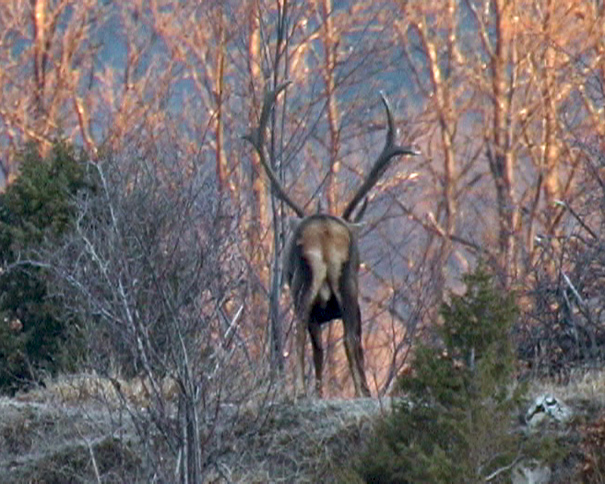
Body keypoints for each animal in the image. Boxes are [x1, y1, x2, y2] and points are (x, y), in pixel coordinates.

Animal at [243, 82, 418, 398]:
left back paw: (306, 389)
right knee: (346, 337)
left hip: (308, 285)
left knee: (306, 330)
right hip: (341, 283)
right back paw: (353, 391)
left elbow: (320, 350)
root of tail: (324, 235)